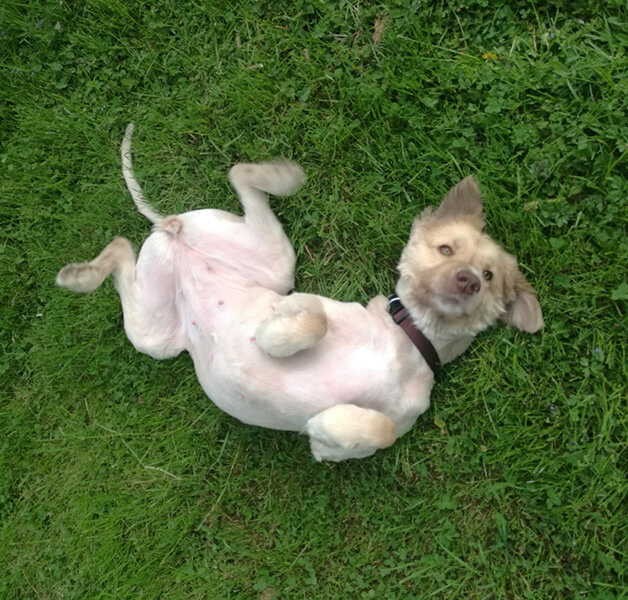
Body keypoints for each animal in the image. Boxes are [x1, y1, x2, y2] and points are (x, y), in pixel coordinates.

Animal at [56, 124, 543, 462]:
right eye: (446, 249)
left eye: (489, 276)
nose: (468, 279)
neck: (407, 341)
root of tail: (171, 229)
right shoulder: (320, 305)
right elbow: (312, 317)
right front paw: (276, 331)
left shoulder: (364, 439)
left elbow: (377, 430)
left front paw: (325, 421)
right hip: (211, 305)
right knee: (225, 181)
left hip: (196, 302)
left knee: (126, 244)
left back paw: (79, 274)